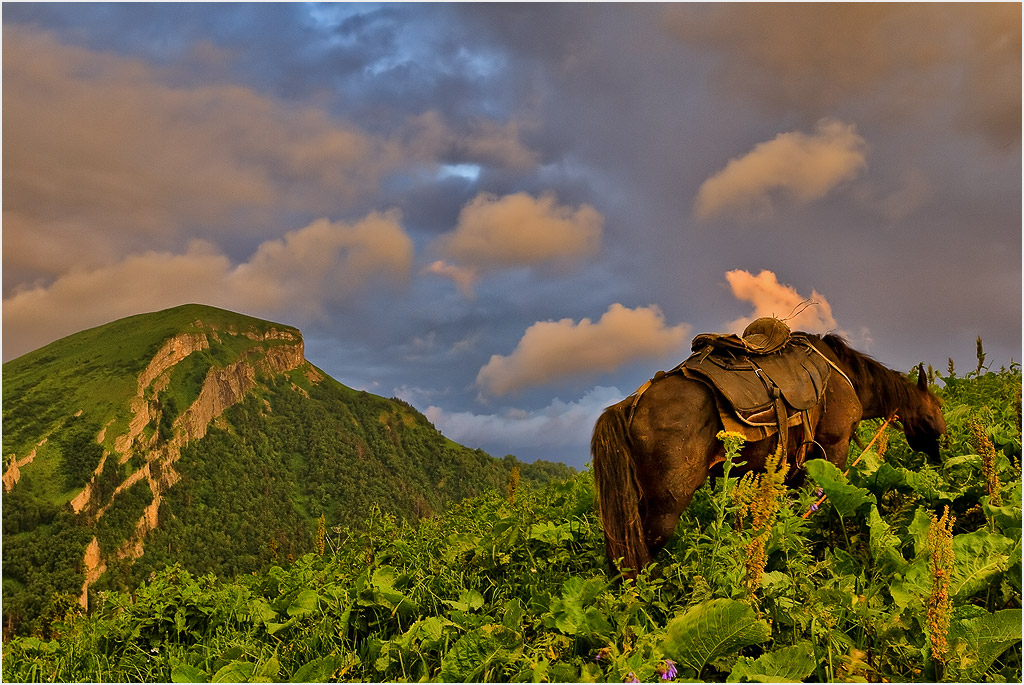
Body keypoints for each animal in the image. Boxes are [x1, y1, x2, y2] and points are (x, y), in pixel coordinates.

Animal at [589, 317, 946, 573]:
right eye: (936, 410)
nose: (939, 458)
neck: (846, 377)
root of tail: (630, 404)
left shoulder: (793, 465)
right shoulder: (834, 449)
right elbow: (823, 503)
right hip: (666, 505)